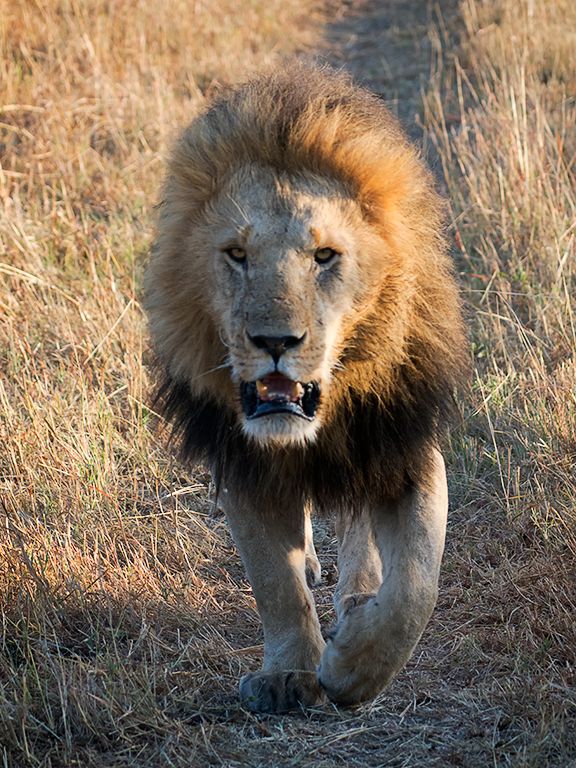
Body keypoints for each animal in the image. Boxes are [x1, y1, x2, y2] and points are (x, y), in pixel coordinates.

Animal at [144, 63, 466, 712]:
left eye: (324, 256)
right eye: (236, 254)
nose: (275, 340)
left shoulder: (403, 445)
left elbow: (416, 586)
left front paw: (351, 668)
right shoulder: (242, 464)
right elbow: (275, 581)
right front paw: (290, 674)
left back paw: (355, 597)